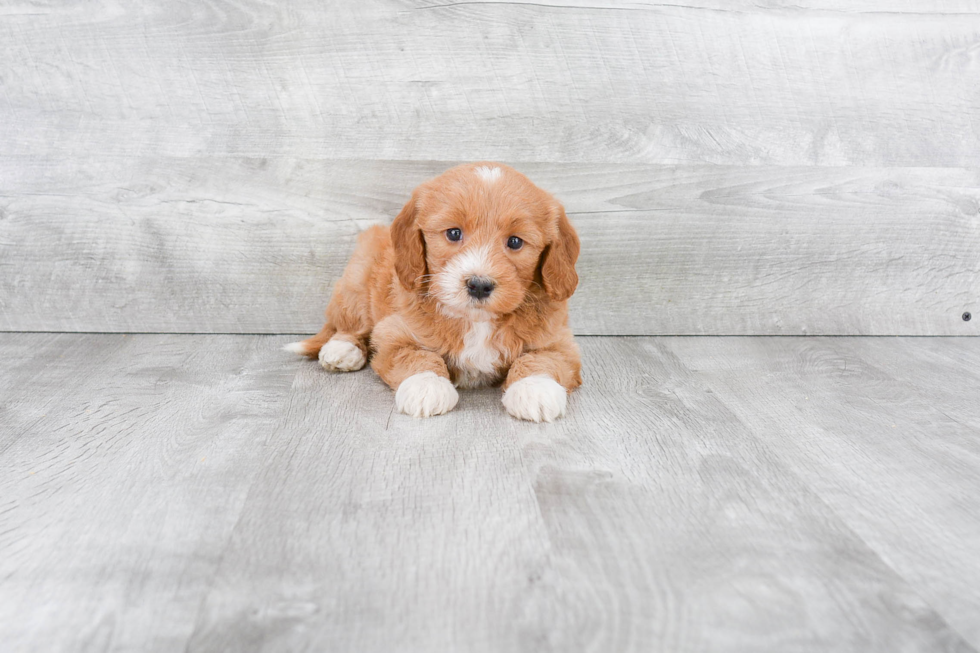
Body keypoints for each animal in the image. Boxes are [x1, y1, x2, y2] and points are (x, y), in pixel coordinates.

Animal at [290, 160, 580, 420]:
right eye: (453, 233)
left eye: (515, 242)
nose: (479, 285)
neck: (476, 321)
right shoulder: (394, 332)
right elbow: (415, 355)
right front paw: (426, 385)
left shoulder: (560, 340)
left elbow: (542, 359)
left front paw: (534, 388)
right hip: (357, 278)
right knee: (349, 324)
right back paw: (342, 349)